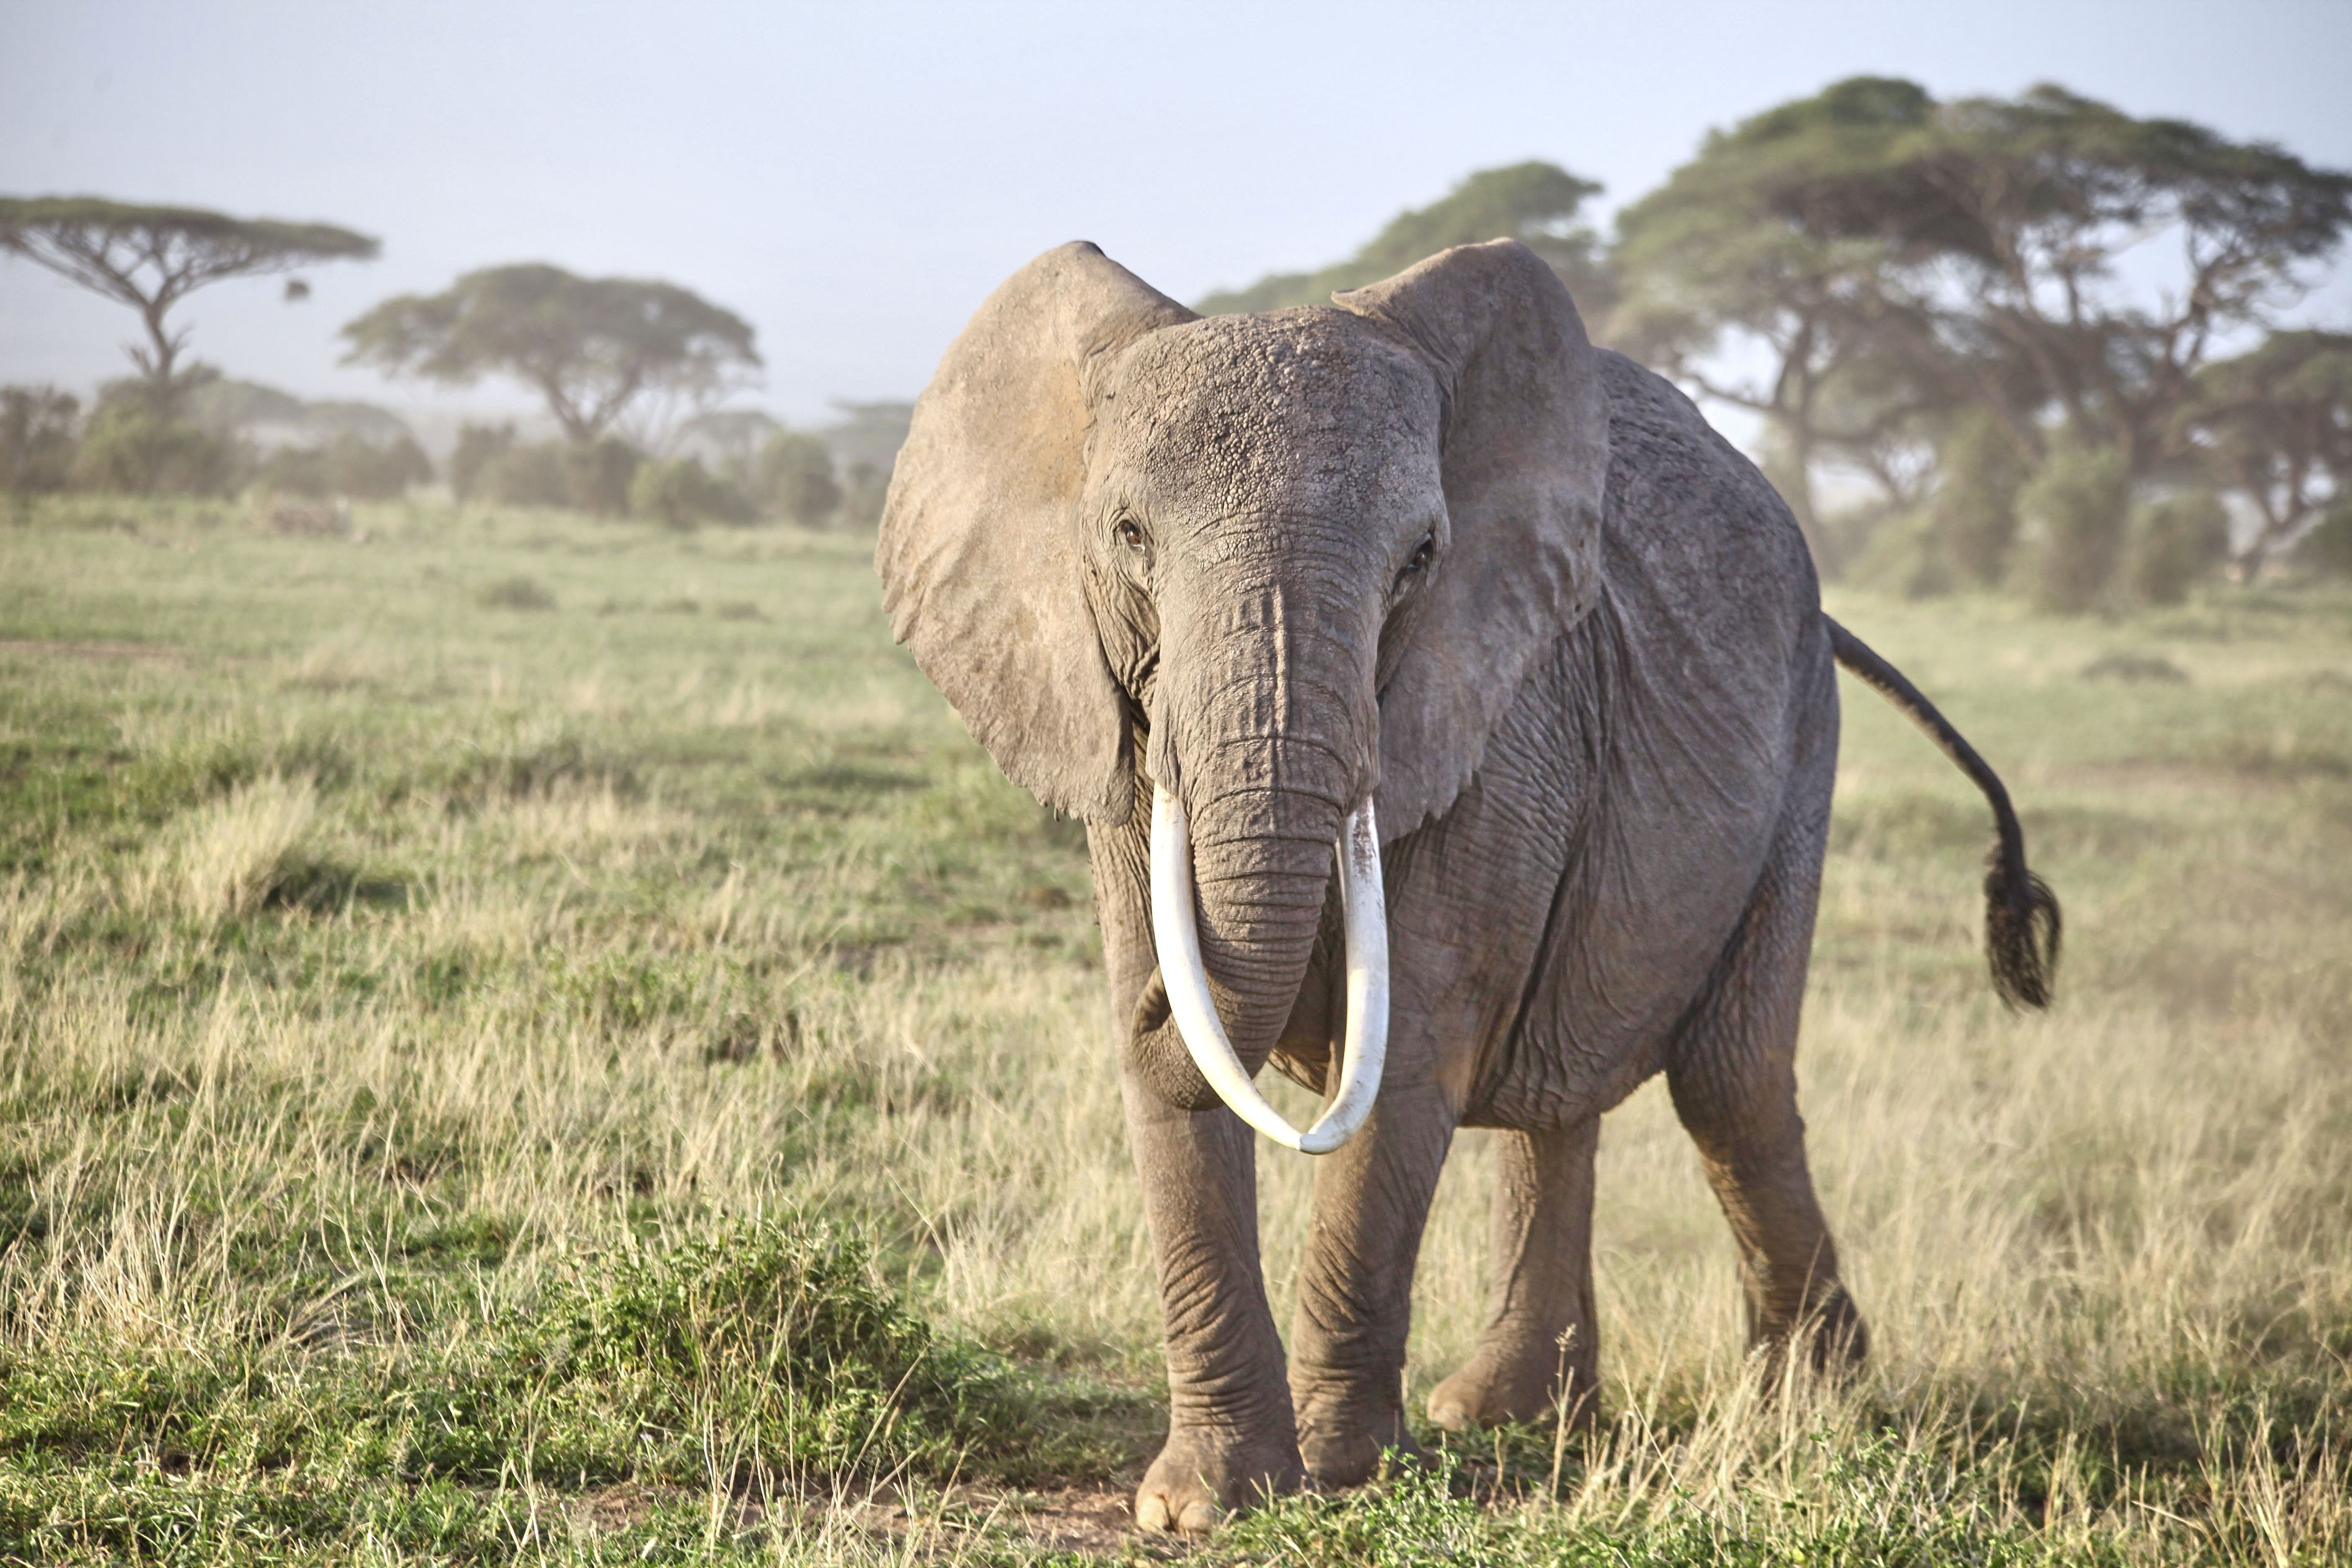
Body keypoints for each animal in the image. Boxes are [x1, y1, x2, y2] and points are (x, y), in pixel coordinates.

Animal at [875, 240, 2051, 1542]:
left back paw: (1812, 1407)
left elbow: (1412, 1045)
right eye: (1128, 534)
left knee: (1730, 1083)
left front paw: (1341, 1475)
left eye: (1421, 559)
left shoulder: (1497, 712)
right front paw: (1205, 1504)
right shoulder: (1110, 732)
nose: (1142, 1007)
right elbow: (1190, 1072)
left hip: (1801, 750)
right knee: (1563, 1094)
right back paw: (1510, 1413)